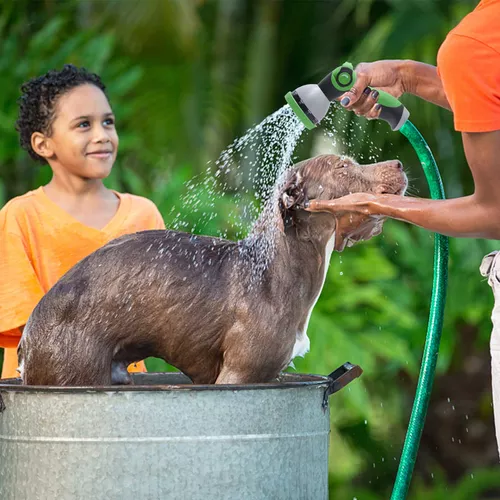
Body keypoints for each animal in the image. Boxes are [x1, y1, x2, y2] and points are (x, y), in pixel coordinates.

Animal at [18, 154, 406, 384]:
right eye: (343, 167)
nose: (400, 164)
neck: (278, 272)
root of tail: (29, 334)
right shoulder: (240, 375)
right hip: (73, 372)